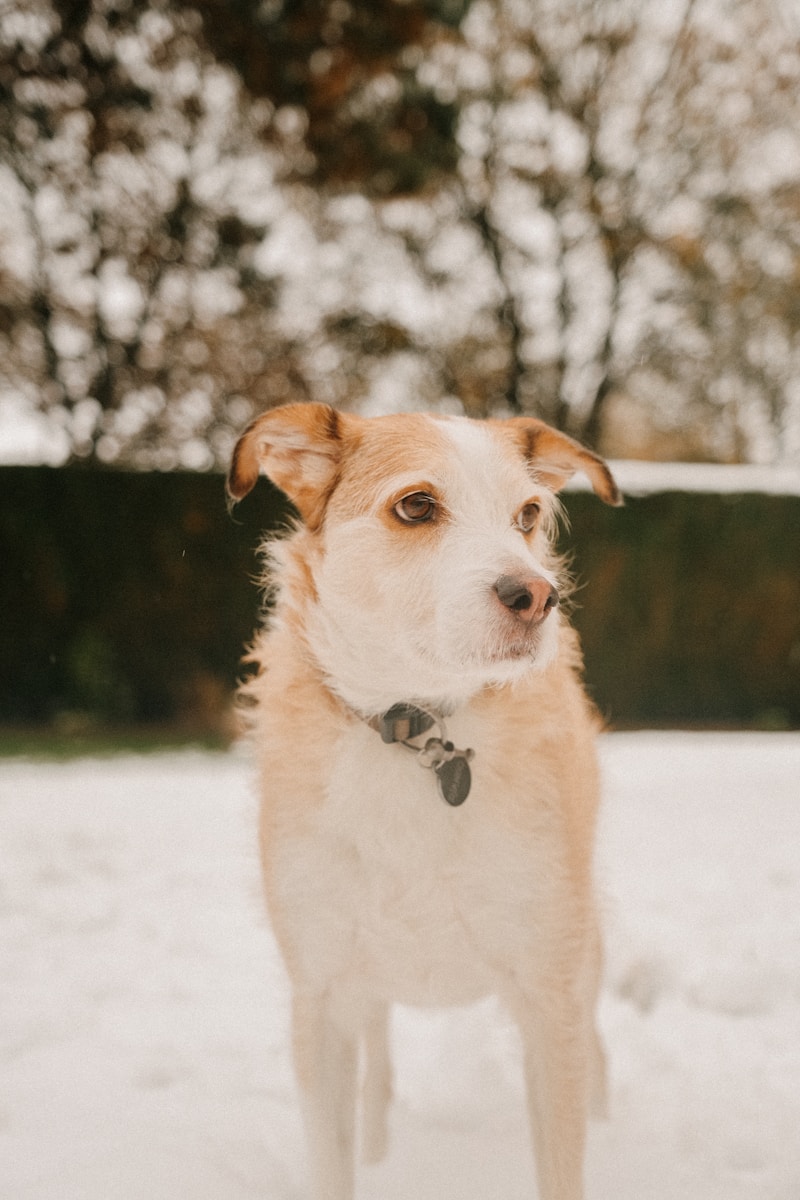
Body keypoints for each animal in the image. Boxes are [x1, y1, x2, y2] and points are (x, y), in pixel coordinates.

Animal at [227, 403, 623, 1200]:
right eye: (416, 506)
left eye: (528, 514)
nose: (538, 597)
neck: (416, 730)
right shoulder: (321, 1001)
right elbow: (333, 1160)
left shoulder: (551, 994)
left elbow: (562, 1159)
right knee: (378, 1062)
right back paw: (381, 1148)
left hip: (584, 955)